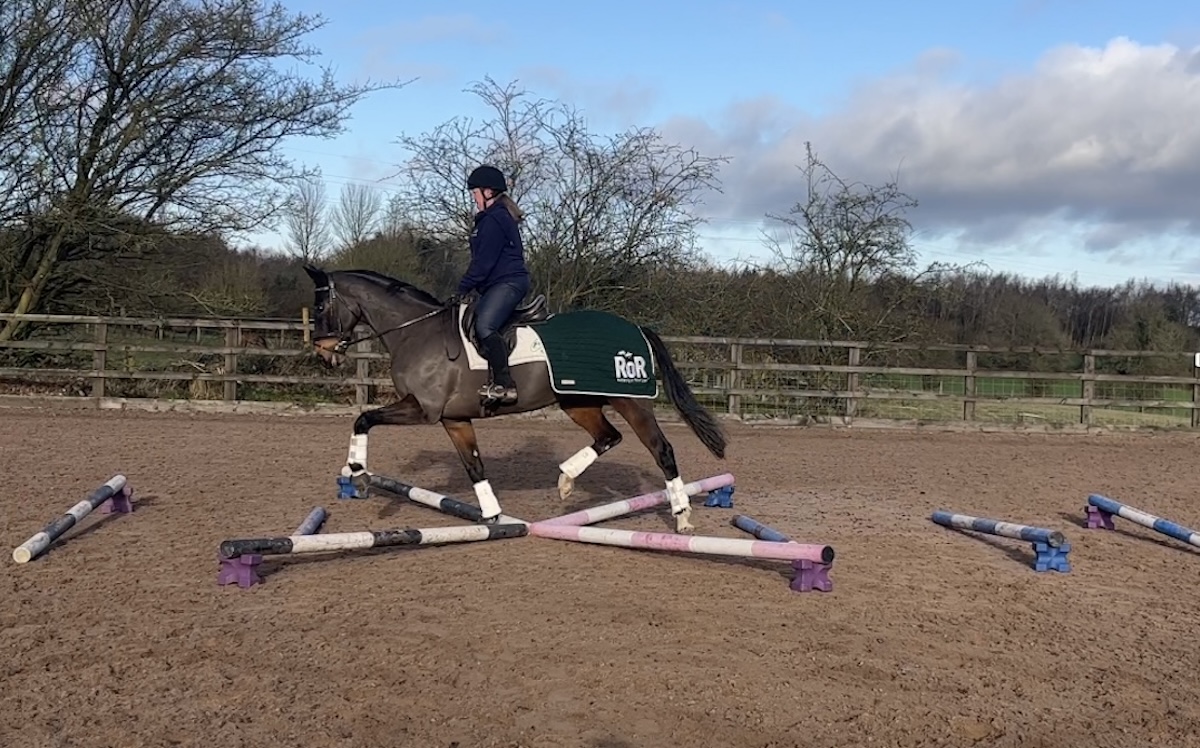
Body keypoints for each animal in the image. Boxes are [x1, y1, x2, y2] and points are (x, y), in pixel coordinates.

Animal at [304, 266, 724, 535]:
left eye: (321, 307)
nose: (324, 353)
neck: (416, 332)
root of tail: (636, 327)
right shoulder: (454, 419)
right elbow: (474, 466)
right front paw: (493, 516)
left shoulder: (423, 410)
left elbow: (363, 418)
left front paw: (358, 473)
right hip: (577, 401)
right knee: (608, 436)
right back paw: (565, 480)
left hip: (632, 402)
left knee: (661, 450)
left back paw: (682, 516)